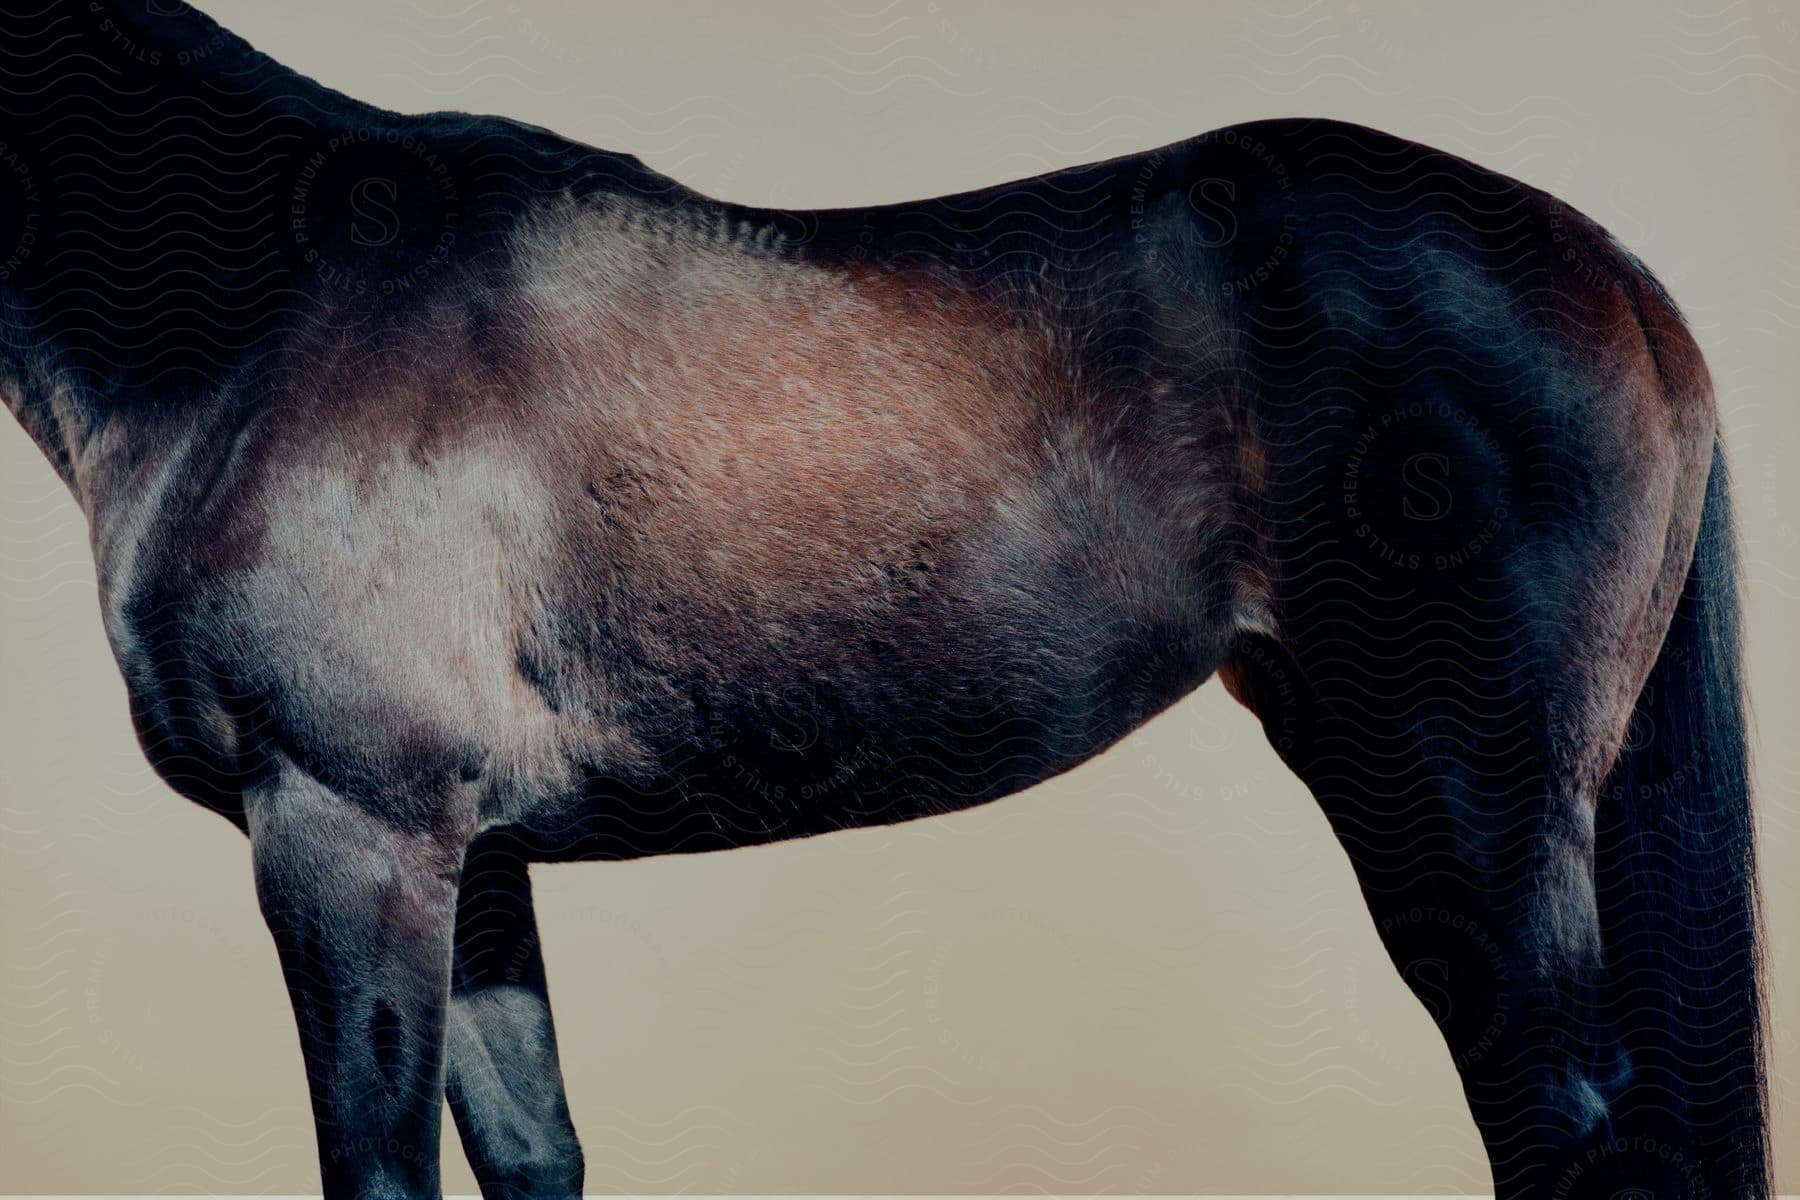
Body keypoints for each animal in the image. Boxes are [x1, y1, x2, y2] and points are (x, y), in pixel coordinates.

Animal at [0, 2, 1764, 1200]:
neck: (258, 311)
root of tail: (1616, 274)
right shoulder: (473, 861)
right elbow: (535, 1151)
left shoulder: (349, 830)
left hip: (1461, 800)